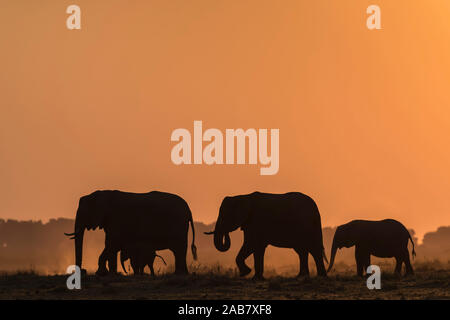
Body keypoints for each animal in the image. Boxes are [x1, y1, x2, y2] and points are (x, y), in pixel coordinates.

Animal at [65, 190, 197, 276]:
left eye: (84, 212)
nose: (83, 271)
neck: (103, 194)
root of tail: (189, 210)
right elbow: (111, 245)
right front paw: (109, 273)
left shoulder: (116, 219)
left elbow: (111, 244)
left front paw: (103, 273)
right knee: (178, 251)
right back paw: (181, 274)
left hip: (178, 225)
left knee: (179, 249)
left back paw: (180, 274)